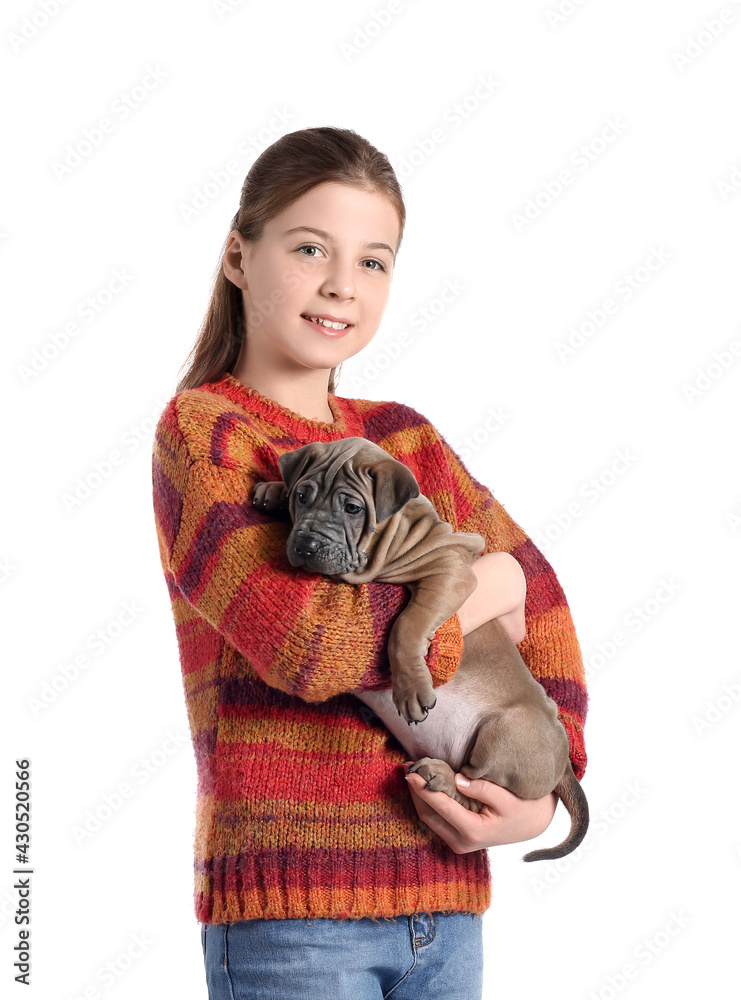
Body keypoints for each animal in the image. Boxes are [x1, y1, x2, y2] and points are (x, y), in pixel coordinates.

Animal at [254, 438, 588, 860]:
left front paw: (411, 688)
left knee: (473, 789)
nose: (306, 544)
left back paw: (439, 776)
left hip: (507, 732)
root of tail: (564, 766)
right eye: (303, 495)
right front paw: (273, 490)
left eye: (353, 508)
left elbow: (406, 624)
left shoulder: (449, 570)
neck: (393, 534)